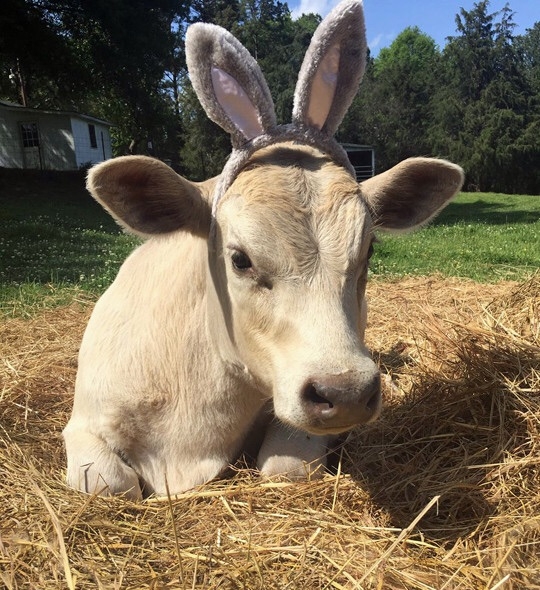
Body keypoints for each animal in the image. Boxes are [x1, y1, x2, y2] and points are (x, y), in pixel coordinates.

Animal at [61, 0, 462, 500]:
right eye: (240, 259)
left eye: (369, 250)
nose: (346, 393)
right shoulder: (83, 423)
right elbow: (110, 484)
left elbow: (285, 466)